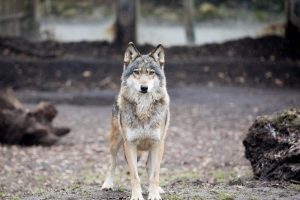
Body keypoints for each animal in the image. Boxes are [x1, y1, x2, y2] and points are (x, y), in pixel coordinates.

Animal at [102, 42, 170, 200]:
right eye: (136, 72)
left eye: (151, 73)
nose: (144, 87)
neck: (143, 109)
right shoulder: (130, 144)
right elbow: (134, 176)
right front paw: (137, 196)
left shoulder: (157, 143)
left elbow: (155, 174)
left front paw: (154, 194)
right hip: (115, 143)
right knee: (112, 163)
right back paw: (107, 184)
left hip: (157, 146)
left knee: (148, 166)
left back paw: (158, 189)